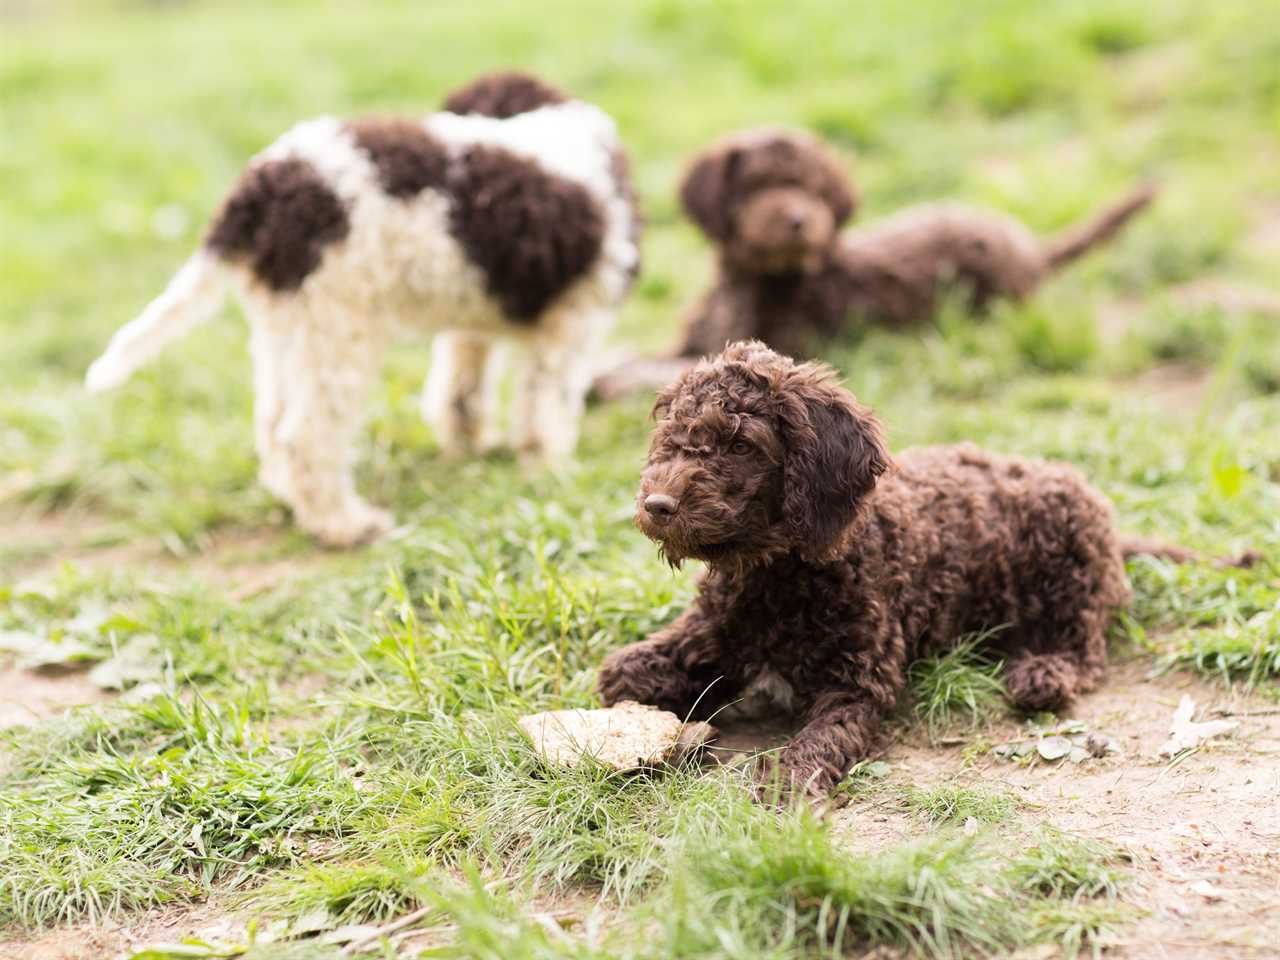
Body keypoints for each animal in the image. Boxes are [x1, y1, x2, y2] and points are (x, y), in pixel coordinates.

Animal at [86, 73, 640, 547]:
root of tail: (254, 196)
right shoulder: (572, 325)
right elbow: (546, 408)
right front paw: (550, 474)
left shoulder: (474, 320)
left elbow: (461, 388)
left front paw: (473, 447)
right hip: (339, 324)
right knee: (305, 436)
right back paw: (344, 525)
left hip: (287, 326)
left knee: (272, 424)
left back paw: (301, 505)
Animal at [593, 343, 1136, 798]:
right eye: (674, 436)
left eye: (742, 445)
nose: (657, 505)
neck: (777, 577)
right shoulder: (714, 633)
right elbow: (621, 673)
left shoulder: (857, 687)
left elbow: (816, 744)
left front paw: (784, 786)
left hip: (1069, 561)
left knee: (1084, 641)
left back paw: (1042, 673)